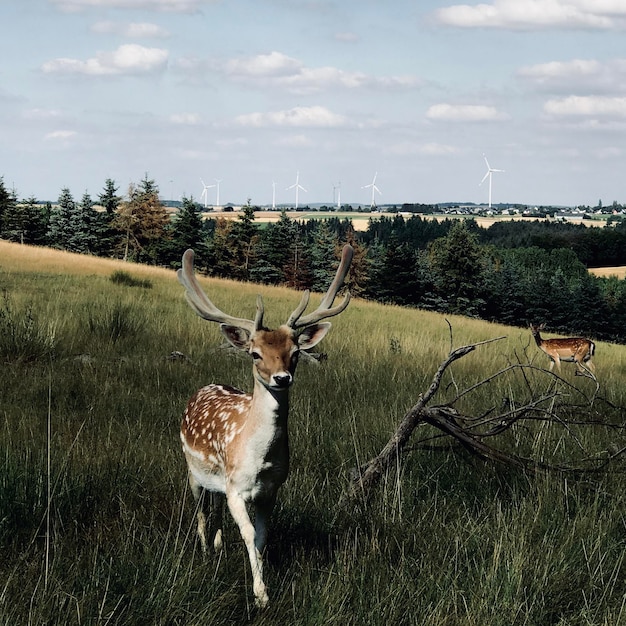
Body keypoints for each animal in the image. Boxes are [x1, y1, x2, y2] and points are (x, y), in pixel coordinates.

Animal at [176, 243, 352, 604]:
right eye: (255, 353)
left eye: (295, 352)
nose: (282, 378)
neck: (260, 461)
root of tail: (203, 388)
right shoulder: (236, 488)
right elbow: (246, 534)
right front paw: (262, 593)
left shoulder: (271, 490)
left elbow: (260, 536)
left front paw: (261, 588)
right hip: (192, 469)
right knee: (200, 510)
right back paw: (204, 550)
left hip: (217, 481)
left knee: (214, 509)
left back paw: (217, 545)